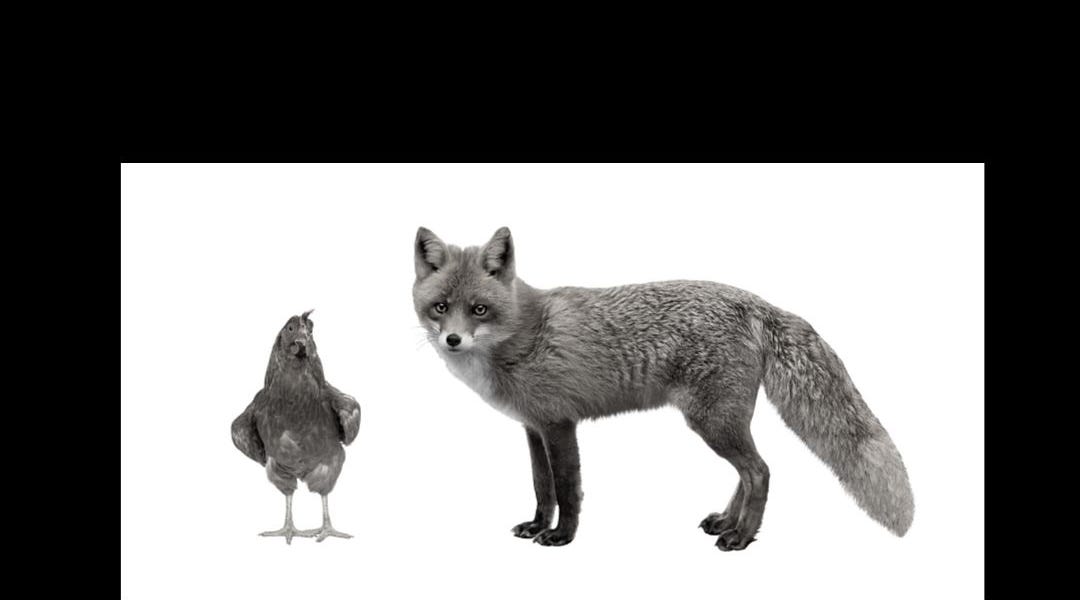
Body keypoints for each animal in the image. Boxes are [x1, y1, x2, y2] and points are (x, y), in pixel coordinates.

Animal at [412, 226, 913, 551]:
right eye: (440, 307)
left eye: (479, 309)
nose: (452, 340)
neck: (520, 333)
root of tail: (754, 300)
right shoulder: (533, 428)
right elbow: (542, 487)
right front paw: (537, 526)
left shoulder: (559, 424)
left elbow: (568, 488)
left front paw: (561, 537)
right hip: (722, 423)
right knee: (748, 472)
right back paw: (727, 522)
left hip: (712, 422)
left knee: (761, 472)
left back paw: (742, 536)